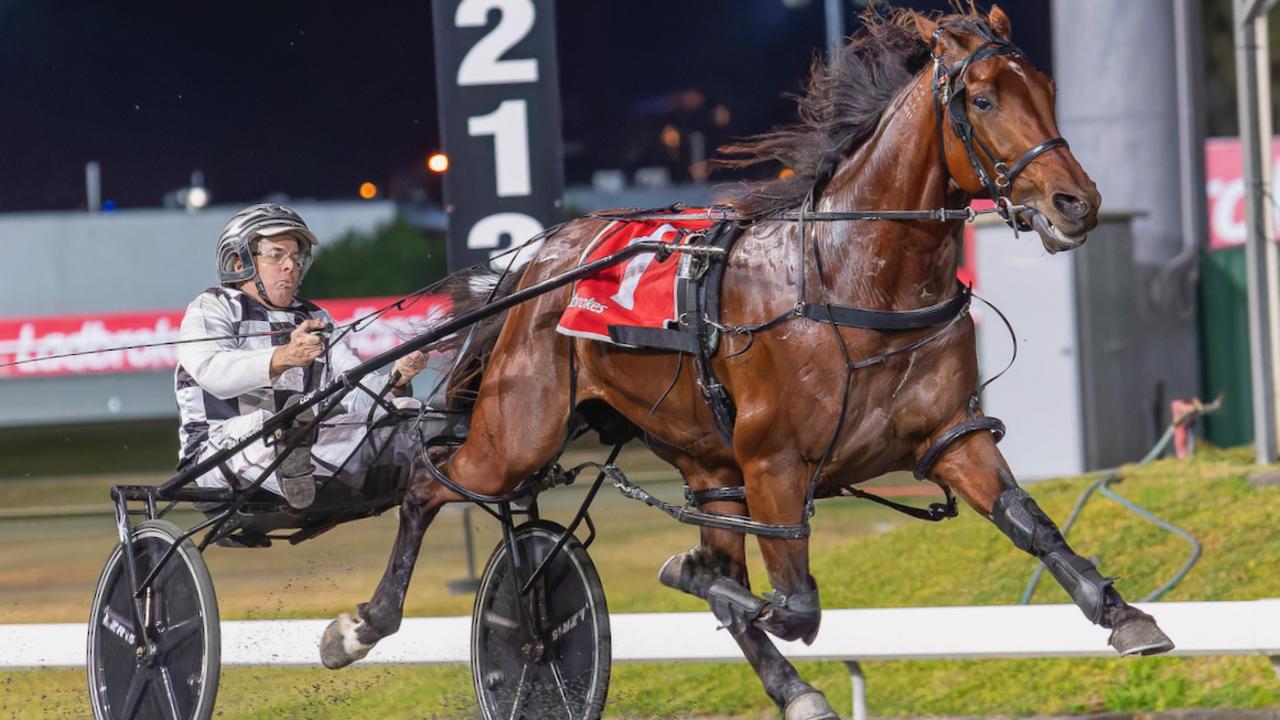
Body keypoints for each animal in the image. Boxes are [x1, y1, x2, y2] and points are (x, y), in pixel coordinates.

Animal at [317, 7, 1172, 717]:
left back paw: (791, 687)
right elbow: (793, 604)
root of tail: (541, 259)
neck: (849, 279)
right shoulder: (774, 463)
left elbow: (1031, 523)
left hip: (703, 460)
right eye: (986, 100)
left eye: (1048, 90)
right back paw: (360, 625)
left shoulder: (947, 436)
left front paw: (1124, 613)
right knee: (428, 485)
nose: (1077, 204)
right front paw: (690, 572)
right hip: (521, 430)